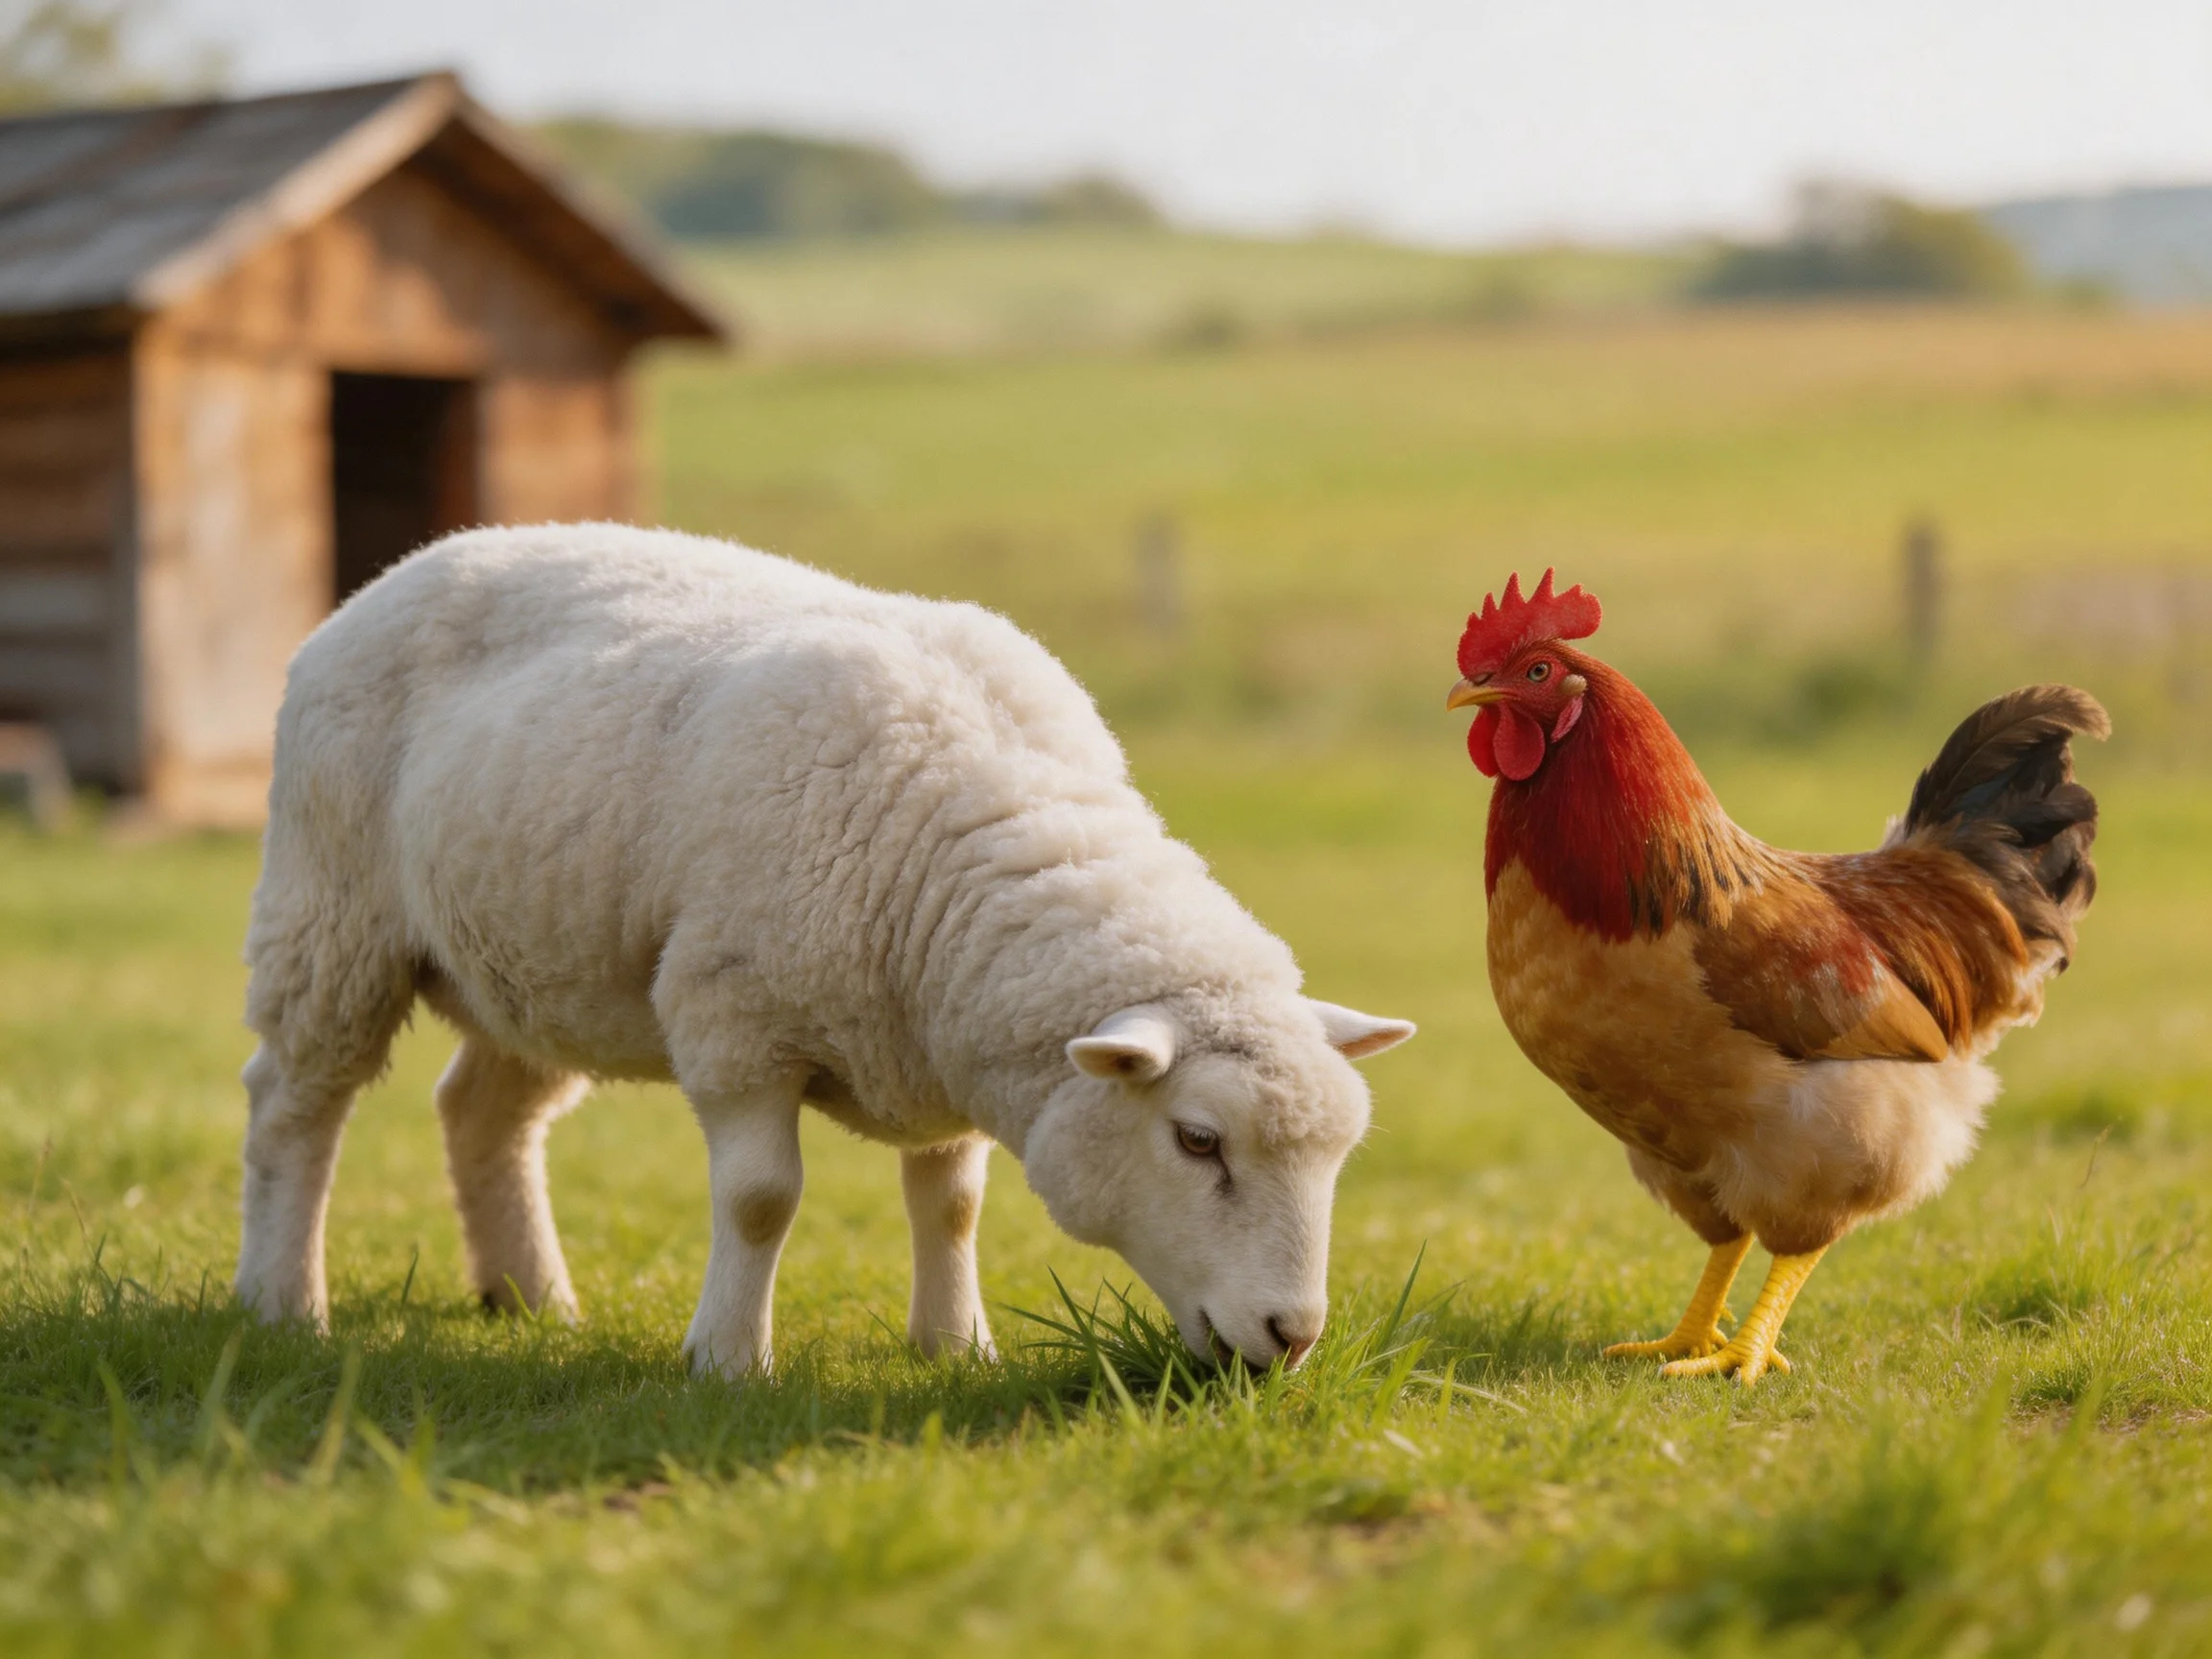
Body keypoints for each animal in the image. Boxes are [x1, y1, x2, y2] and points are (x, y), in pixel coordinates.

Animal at [235, 524, 1414, 1376]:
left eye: (1338, 1156)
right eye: (1198, 1141)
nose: (1293, 1337)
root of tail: (409, 563)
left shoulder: (943, 1037)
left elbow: (952, 1203)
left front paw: (956, 1346)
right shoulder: (735, 1022)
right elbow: (762, 1199)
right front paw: (727, 1361)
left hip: (539, 960)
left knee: (484, 1112)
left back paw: (533, 1300)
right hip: (330, 910)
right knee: (295, 1105)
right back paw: (282, 1301)